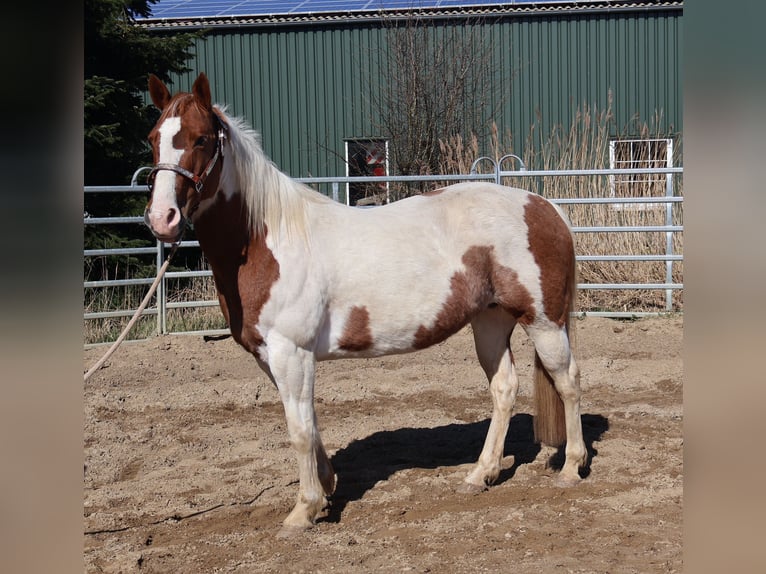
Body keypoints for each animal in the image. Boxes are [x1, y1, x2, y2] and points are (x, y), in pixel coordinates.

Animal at [144, 72, 587, 536]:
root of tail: (546, 208)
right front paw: (326, 486)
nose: (162, 219)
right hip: (490, 322)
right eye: (153, 138)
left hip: (544, 322)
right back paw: (480, 474)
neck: (268, 240)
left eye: (200, 139)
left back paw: (571, 468)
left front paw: (303, 510)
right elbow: (309, 423)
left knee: (568, 382)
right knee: (504, 388)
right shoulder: (273, 357)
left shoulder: (291, 352)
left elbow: (299, 430)